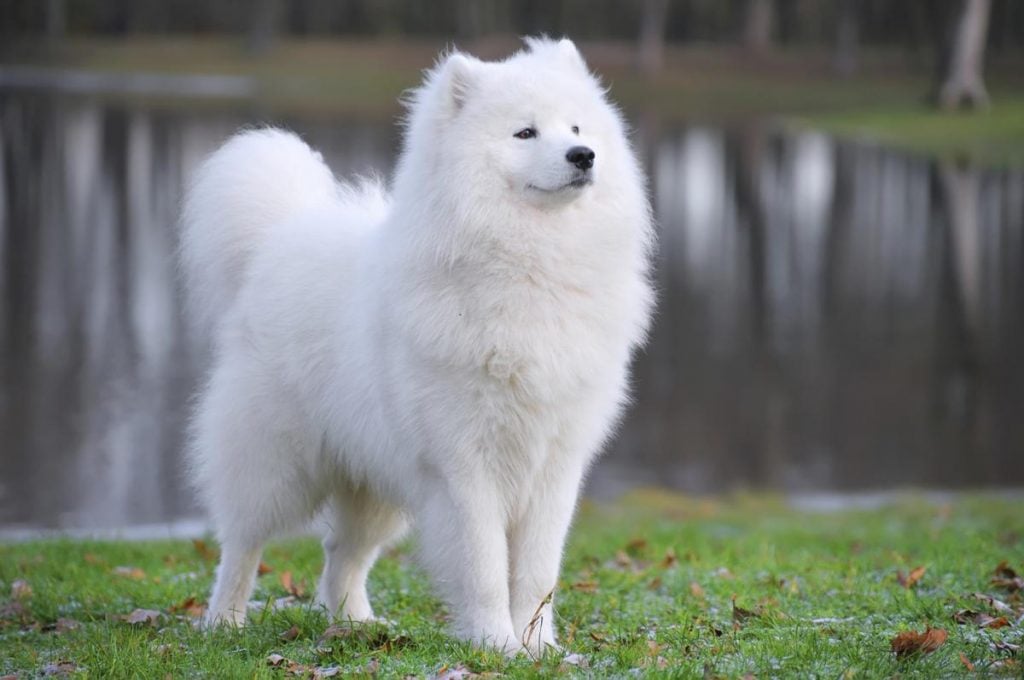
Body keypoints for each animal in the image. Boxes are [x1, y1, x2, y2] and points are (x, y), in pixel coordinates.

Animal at [179, 37, 651, 655]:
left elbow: (537, 572)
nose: (583, 155)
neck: (532, 265)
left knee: (342, 554)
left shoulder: (555, 465)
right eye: (525, 133)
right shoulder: (464, 465)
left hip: (374, 481)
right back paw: (225, 621)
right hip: (275, 463)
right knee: (242, 543)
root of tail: (278, 238)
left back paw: (356, 623)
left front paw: (539, 648)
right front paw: (496, 644)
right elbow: (484, 565)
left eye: (576, 126)